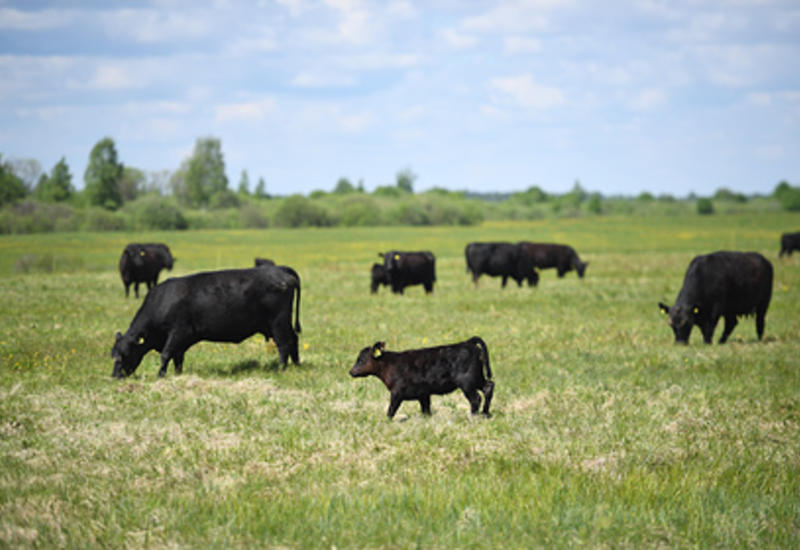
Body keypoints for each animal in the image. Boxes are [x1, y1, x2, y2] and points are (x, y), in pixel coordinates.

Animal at [111, 266, 302, 380]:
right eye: (113, 355)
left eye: (124, 355)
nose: (114, 376)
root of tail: (280, 269)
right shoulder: (180, 342)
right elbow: (177, 358)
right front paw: (178, 375)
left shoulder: (178, 332)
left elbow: (166, 354)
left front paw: (160, 375)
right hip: (277, 324)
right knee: (294, 339)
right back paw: (296, 364)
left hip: (278, 322)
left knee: (284, 343)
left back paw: (281, 369)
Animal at [350, 338, 494, 420]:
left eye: (361, 359)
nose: (351, 371)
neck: (389, 364)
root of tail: (467, 343)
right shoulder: (423, 394)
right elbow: (426, 410)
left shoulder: (397, 393)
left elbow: (391, 410)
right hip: (477, 378)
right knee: (488, 387)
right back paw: (485, 414)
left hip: (466, 382)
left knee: (475, 398)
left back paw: (473, 417)